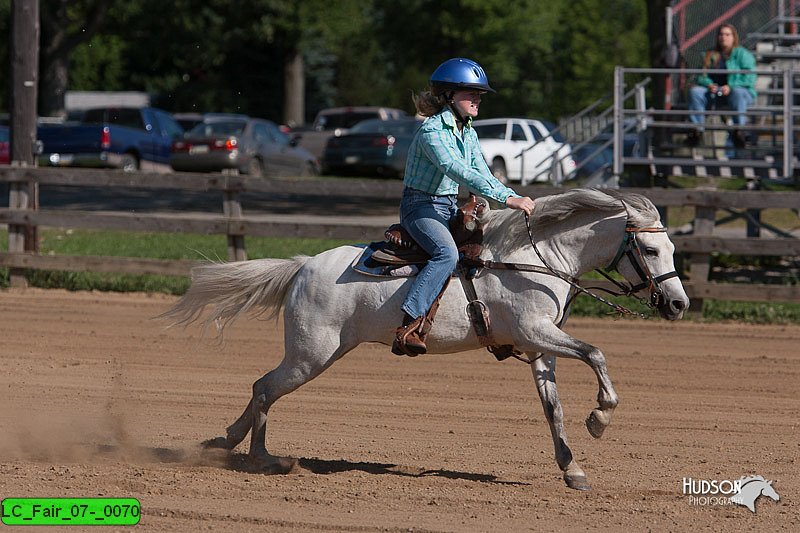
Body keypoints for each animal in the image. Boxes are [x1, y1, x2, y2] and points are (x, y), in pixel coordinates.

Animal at [162, 188, 688, 490]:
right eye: (649, 248)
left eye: (671, 247)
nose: (679, 304)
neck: (534, 258)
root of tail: (304, 265)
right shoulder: (537, 331)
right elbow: (596, 353)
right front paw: (600, 417)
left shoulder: (541, 345)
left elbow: (552, 407)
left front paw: (572, 468)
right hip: (311, 355)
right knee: (265, 387)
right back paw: (262, 459)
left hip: (314, 354)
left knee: (261, 389)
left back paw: (226, 442)